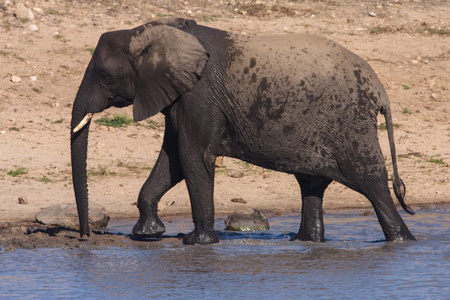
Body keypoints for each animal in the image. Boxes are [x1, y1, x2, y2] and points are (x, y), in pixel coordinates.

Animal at [70, 17, 414, 245]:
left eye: (104, 75)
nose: (85, 237)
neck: (150, 32)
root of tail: (380, 90)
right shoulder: (181, 96)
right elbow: (173, 160)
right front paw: (147, 234)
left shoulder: (200, 95)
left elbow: (192, 157)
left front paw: (197, 242)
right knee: (312, 183)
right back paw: (303, 242)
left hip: (350, 125)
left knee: (372, 184)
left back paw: (401, 241)